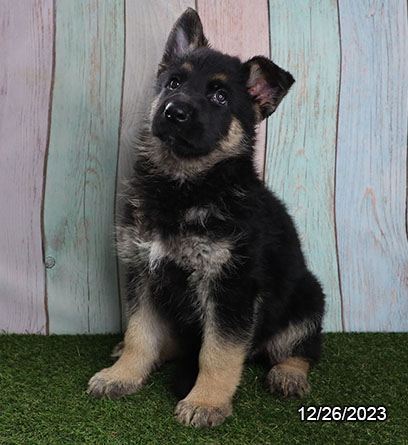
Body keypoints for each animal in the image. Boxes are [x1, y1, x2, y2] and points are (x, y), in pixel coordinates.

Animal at [87, 7, 326, 426]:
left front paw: (207, 401)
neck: (184, 186)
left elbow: (218, 352)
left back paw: (288, 374)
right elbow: (139, 334)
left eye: (220, 97)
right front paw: (123, 375)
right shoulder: (144, 273)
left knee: (301, 349)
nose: (174, 112)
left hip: (309, 298)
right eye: (173, 83)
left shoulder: (231, 288)